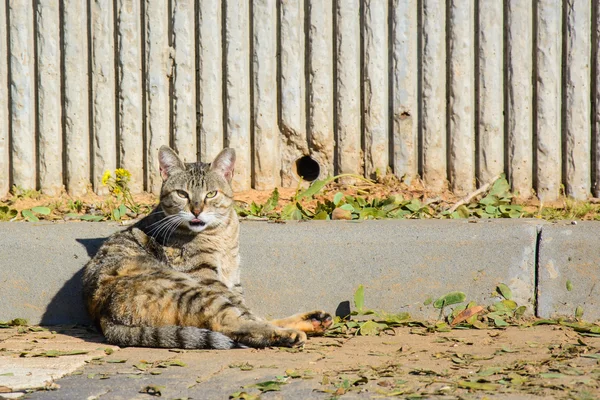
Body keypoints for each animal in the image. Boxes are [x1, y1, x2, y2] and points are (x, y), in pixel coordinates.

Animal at [81, 145, 332, 348]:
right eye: (182, 194)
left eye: (211, 194)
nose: (196, 210)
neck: (221, 233)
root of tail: (104, 317)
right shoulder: (208, 277)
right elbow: (246, 314)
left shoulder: (234, 280)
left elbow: (249, 310)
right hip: (193, 289)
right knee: (229, 323)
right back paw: (287, 334)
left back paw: (311, 321)